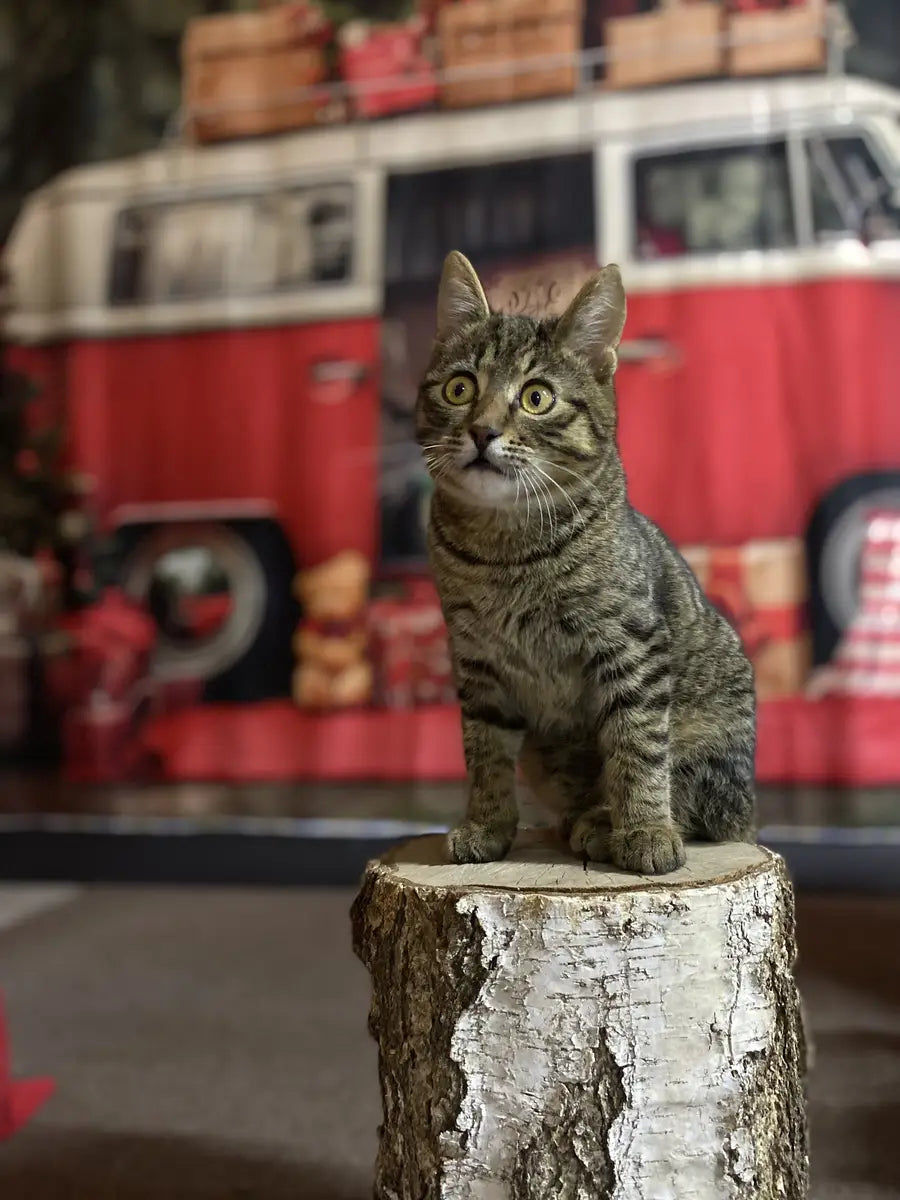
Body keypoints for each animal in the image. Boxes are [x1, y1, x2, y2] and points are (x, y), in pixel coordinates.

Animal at [420, 253, 758, 878]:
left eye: (536, 397)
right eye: (459, 388)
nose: (481, 430)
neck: (506, 547)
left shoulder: (630, 645)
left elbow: (637, 744)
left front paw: (645, 830)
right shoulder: (476, 661)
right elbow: (484, 754)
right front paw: (487, 825)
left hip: (710, 751)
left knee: (691, 796)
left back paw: (605, 823)